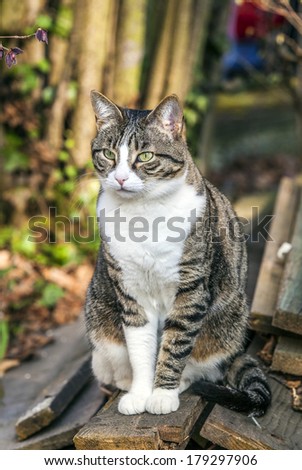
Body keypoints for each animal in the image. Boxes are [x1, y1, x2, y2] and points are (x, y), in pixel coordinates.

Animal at [85, 90, 272, 416]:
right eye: (108, 154)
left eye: (145, 156)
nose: (120, 179)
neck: (143, 213)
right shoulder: (130, 291)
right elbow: (140, 348)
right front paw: (140, 393)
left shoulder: (191, 289)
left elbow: (175, 344)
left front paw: (162, 393)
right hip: (99, 322)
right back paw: (124, 381)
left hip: (229, 322)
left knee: (204, 362)